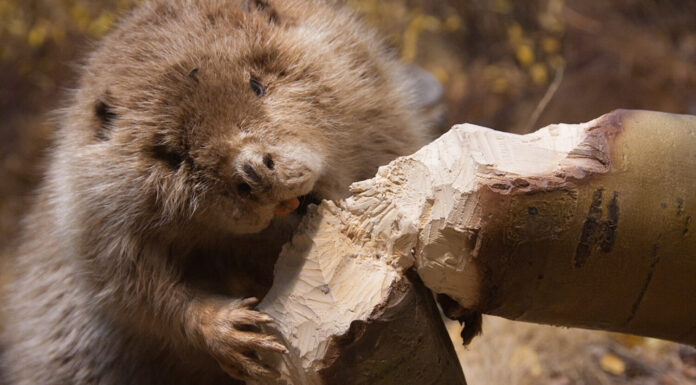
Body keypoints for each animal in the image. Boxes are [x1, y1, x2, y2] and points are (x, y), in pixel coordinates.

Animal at [1, 1, 440, 382]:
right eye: (173, 153)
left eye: (257, 85)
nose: (253, 172)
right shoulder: (87, 211)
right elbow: (129, 288)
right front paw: (234, 332)